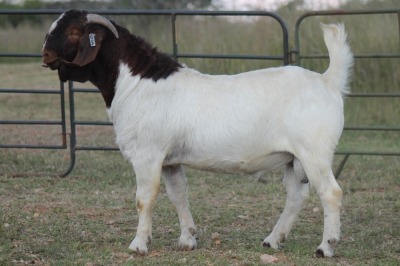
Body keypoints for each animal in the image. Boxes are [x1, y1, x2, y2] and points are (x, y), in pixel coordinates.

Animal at [41, 9, 354, 256]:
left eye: (74, 31)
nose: (45, 54)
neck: (137, 83)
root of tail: (328, 81)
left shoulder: (148, 154)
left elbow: (144, 198)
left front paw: (138, 245)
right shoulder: (170, 160)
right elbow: (179, 195)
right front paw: (187, 239)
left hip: (313, 152)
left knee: (331, 192)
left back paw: (325, 247)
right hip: (292, 157)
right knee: (296, 196)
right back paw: (272, 240)